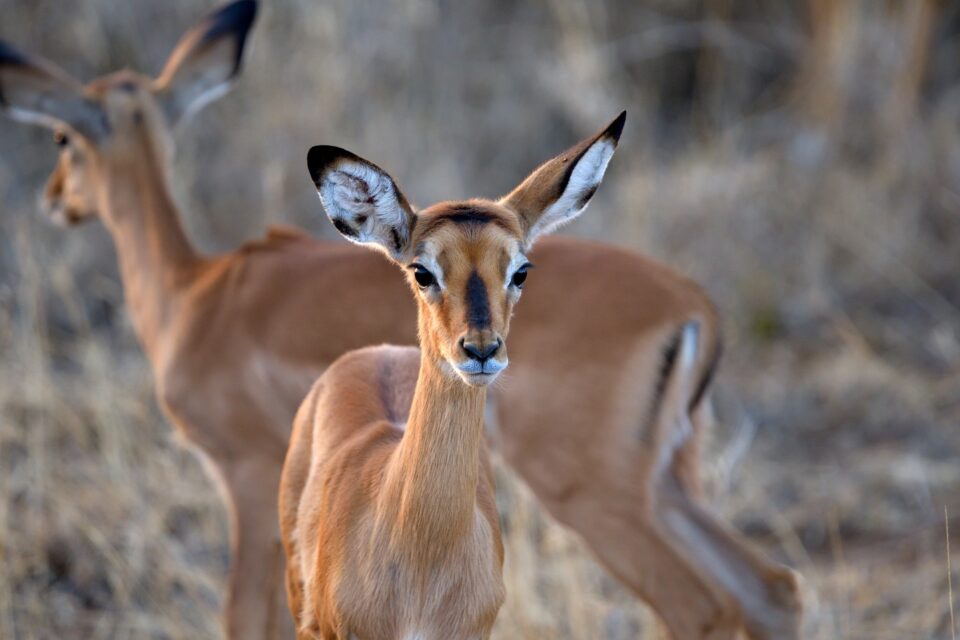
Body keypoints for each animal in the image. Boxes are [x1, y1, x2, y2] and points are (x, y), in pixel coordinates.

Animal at [0, 3, 802, 638]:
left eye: (62, 139)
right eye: (422, 269)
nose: (54, 198)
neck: (195, 292)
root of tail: (694, 303)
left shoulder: (244, 474)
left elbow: (240, 617)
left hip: (595, 489)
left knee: (702, 603)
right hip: (664, 480)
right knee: (772, 588)